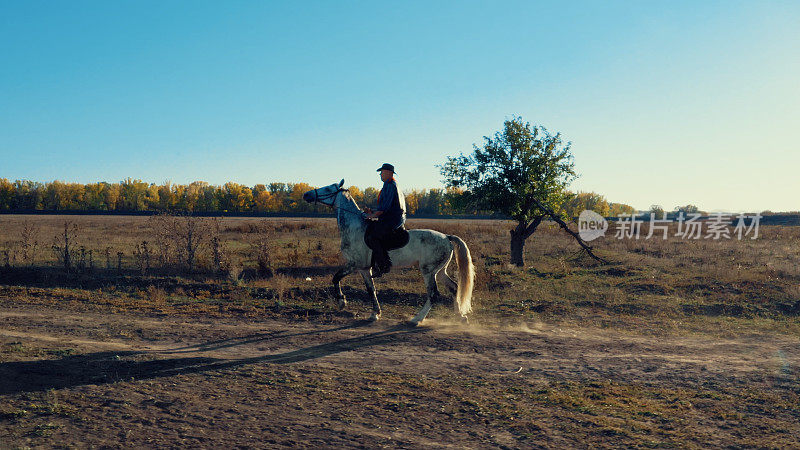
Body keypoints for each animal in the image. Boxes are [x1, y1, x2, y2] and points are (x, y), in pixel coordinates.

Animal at [304, 180, 472, 326]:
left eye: (327, 188)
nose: (307, 195)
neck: (355, 228)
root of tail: (447, 237)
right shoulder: (364, 269)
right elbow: (371, 290)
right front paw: (375, 314)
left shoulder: (354, 264)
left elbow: (336, 278)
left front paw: (342, 302)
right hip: (440, 271)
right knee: (454, 288)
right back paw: (461, 317)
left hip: (428, 271)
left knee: (433, 294)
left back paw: (417, 319)